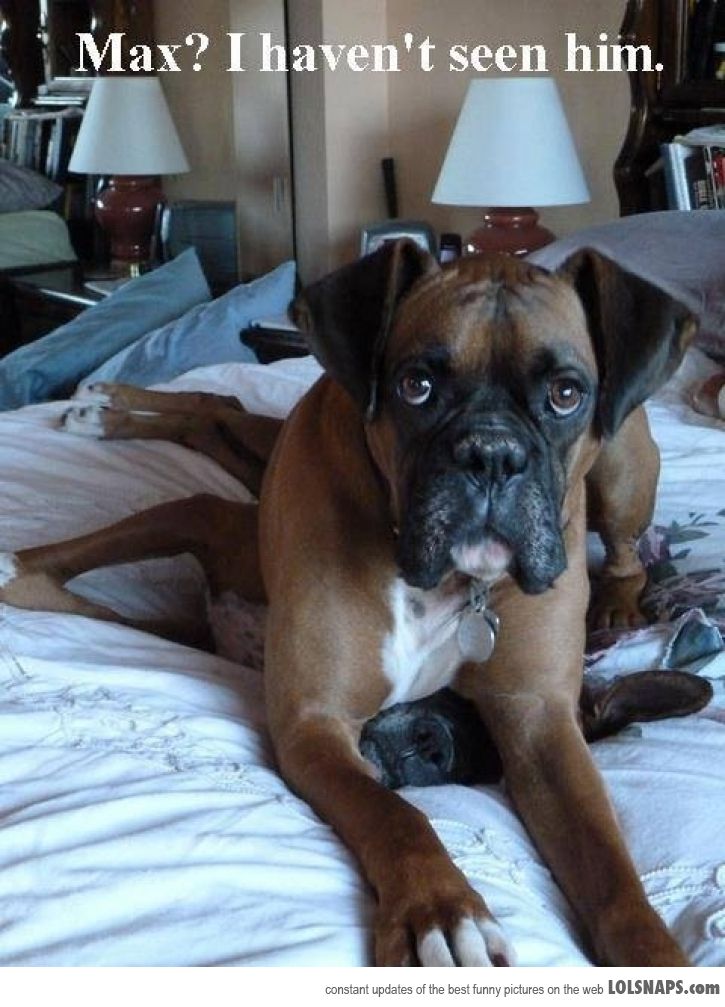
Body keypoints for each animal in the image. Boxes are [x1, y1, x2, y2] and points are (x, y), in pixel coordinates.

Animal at [0, 242, 701, 966]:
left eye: (565, 395)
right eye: (416, 386)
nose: (491, 454)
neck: (447, 585)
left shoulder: (539, 727)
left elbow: (611, 867)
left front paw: (655, 954)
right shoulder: (314, 719)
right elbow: (394, 813)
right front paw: (442, 912)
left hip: (619, 459)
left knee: (623, 550)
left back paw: (618, 603)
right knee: (218, 406)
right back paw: (105, 406)